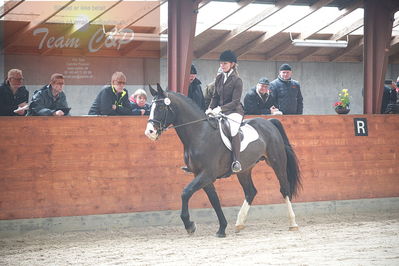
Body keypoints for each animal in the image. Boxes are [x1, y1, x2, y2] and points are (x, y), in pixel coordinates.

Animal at [145, 84, 302, 238]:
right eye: (151, 107)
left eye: (161, 107)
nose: (149, 132)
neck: (200, 134)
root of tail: (269, 122)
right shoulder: (201, 175)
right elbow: (214, 200)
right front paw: (222, 228)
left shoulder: (207, 174)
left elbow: (185, 192)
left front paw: (189, 225)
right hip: (244, 170)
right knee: (250, 191)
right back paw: (239, 224)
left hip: (277, 163)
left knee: (284, 189)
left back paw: (293, 223)